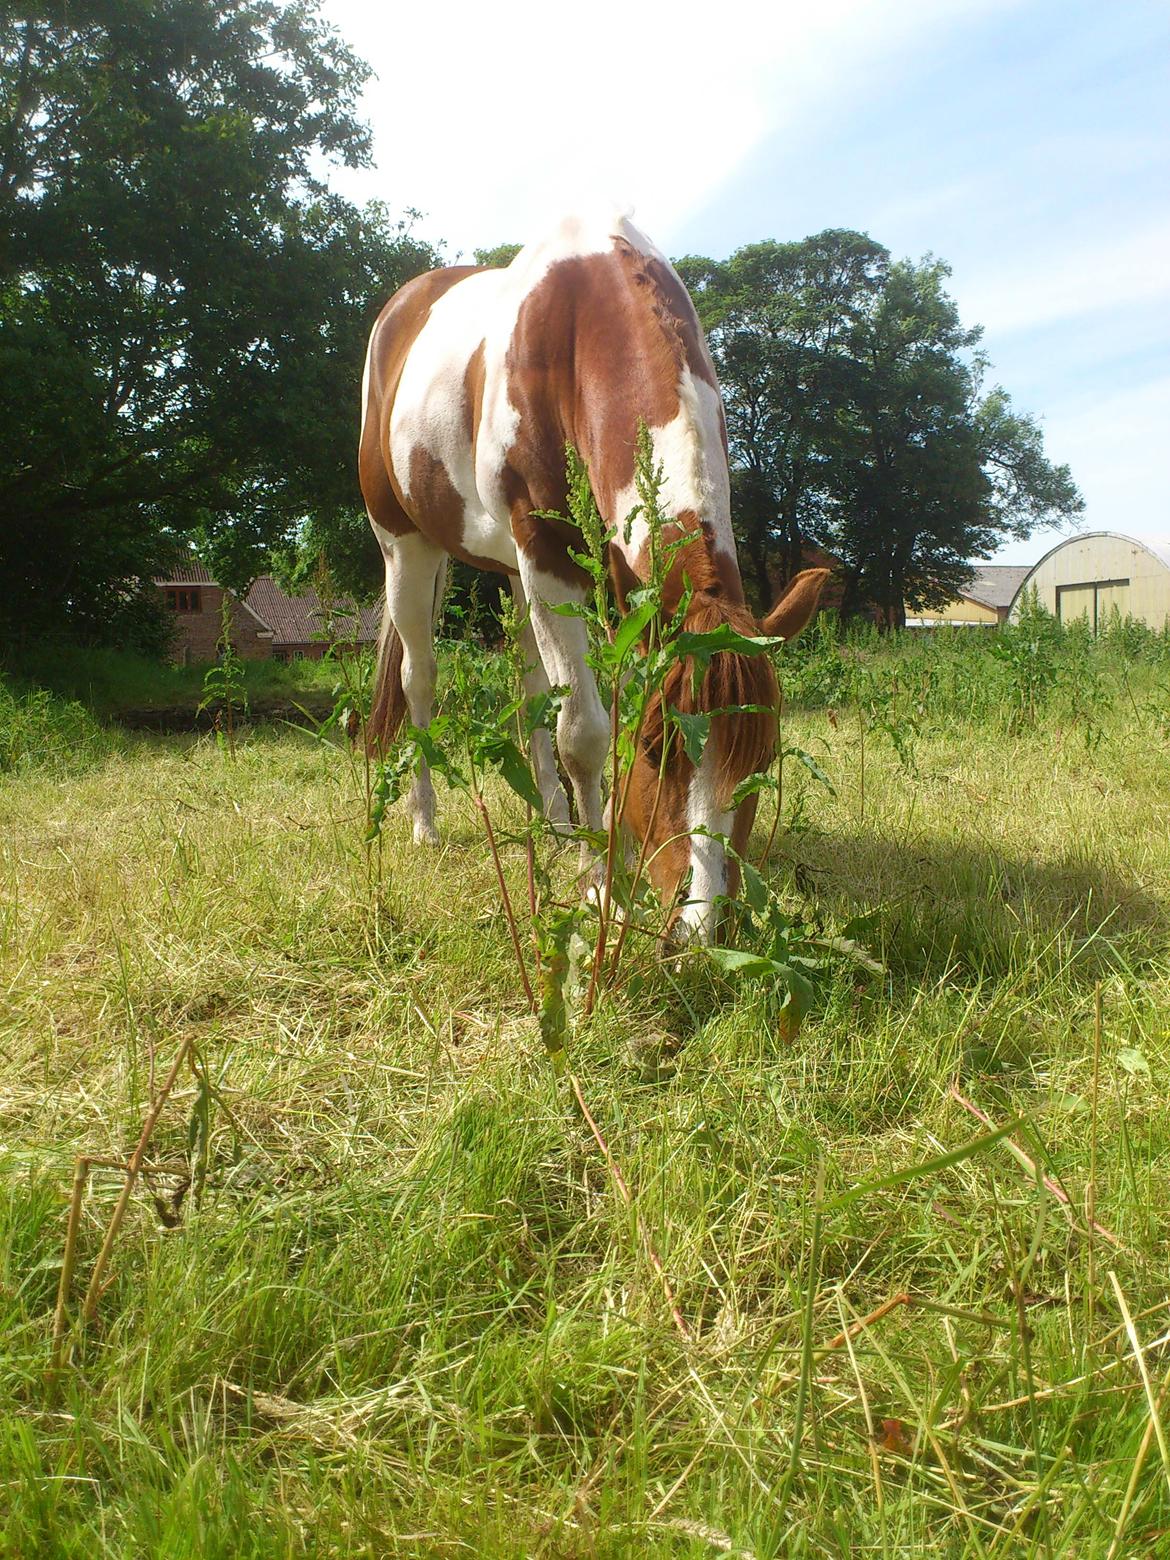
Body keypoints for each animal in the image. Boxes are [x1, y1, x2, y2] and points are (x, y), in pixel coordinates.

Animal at [361, 207, 829, 935]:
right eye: (658, 749)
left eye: (763, 757)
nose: (702, 925)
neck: (579, 322)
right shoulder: (549, 556)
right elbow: (585, 732)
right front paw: (600, 884)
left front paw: (607, 841)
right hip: (407, 545)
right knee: (419, 678)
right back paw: (426, 823)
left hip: (512, 568)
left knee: (530, 687)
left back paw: (555, 825)